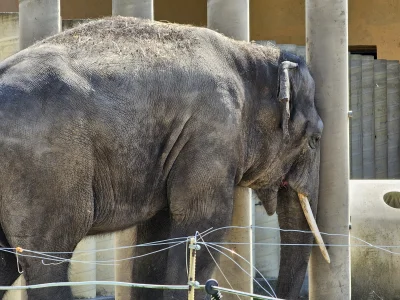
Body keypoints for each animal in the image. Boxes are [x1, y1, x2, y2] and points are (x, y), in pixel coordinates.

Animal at [0, 17, 326, 300]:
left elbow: (157, 235)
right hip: (46, 168)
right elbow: (204, 221)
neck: (247, 54)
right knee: (46, 259)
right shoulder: (212, 133)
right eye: (315, 139)